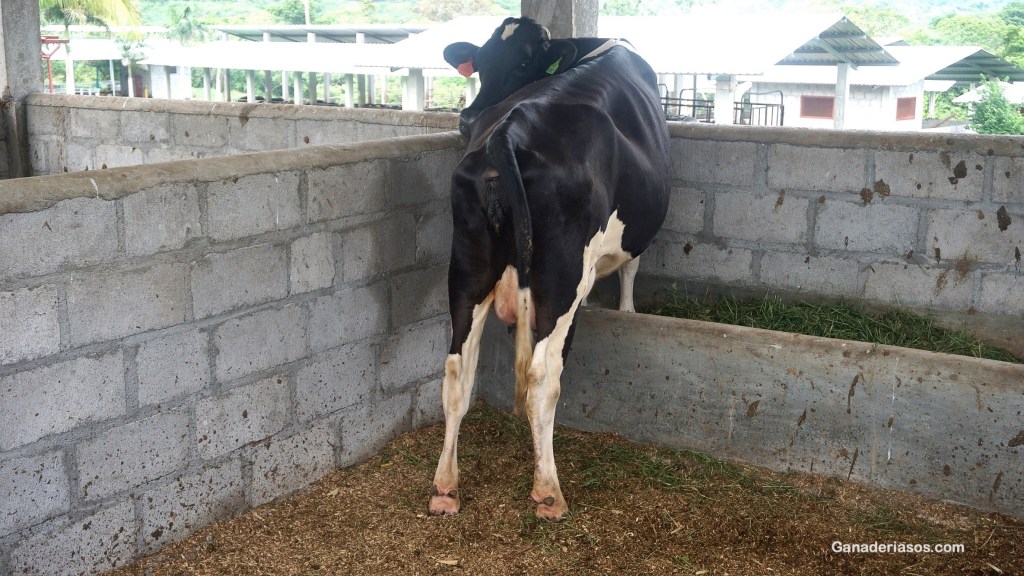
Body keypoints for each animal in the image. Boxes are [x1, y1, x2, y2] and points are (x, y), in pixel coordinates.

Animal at [429, 16, 671, 521]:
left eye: (522, 63)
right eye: (482, 63)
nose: (468, 117)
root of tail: (506, 134)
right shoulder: (633, 235)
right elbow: (631, 268)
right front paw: (628, 311)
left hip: (466, 268)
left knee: (457, 370)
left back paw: (444, 487)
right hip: (560, 282)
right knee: (542, 377)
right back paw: (548, 492)